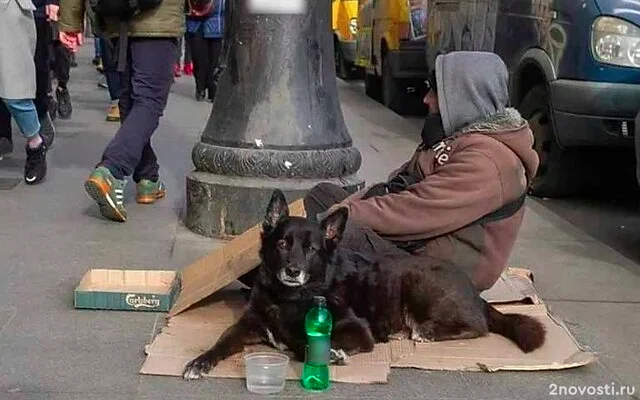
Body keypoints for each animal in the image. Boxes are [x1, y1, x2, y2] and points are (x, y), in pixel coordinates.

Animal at [182, 189, 548, 380]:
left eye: (311, 249)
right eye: (283, 244)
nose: (293, 270)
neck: (288, 297)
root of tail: (474, 290)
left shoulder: (356, 330)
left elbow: (305, 345)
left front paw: (329, 354)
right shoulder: (247, 326)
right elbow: (222, 341)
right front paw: (200, 362)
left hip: (419, 282)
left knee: (477, 325)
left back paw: (427, 331)